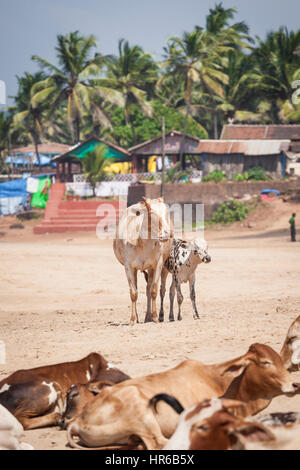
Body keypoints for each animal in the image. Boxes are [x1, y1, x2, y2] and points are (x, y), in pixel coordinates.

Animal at [67, 344, 300, 450]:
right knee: (159, 443)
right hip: (142, 412)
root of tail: (78, 421)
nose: (295, 384)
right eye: (265, 362)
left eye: (280, 360)